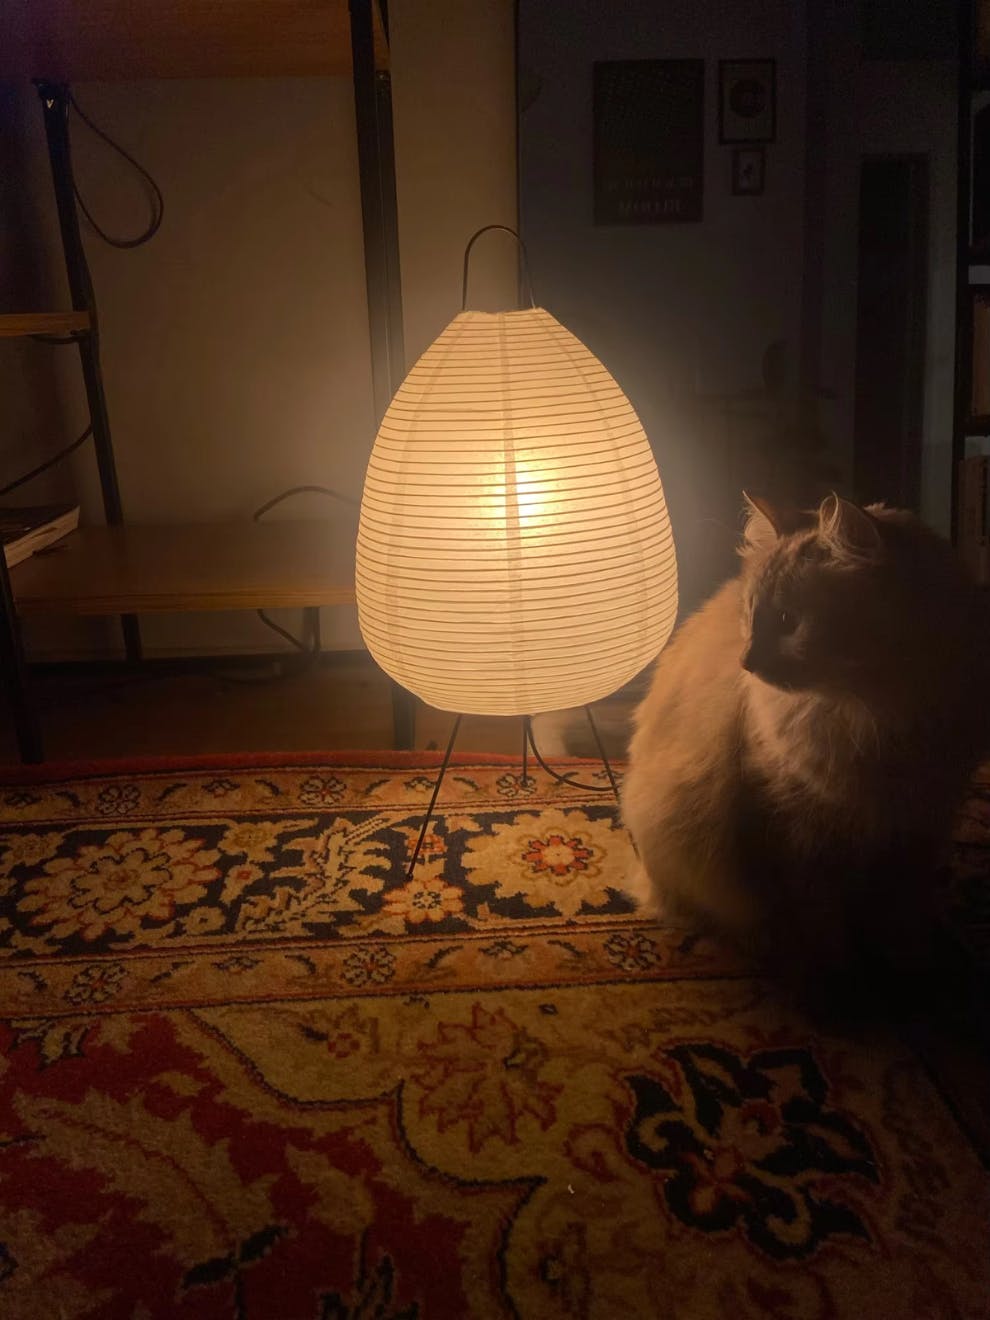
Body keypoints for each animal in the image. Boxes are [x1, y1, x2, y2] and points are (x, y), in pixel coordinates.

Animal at [621, 493, 988, 1014]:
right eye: (750, 614)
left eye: (787, 622)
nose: (746, 662)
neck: (879, 715)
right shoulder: (799, 831)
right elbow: (819, 928)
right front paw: (835, 992)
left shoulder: (919, 823)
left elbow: (901, 921)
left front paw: (913, 977)